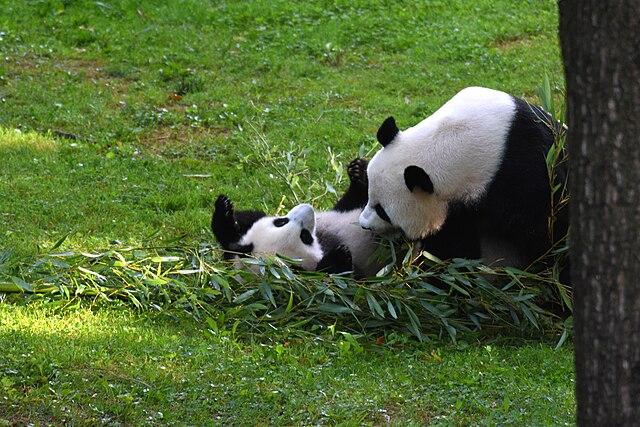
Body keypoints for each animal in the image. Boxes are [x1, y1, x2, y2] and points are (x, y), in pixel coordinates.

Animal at [211, 158, 386, 277]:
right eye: (305, 236)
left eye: (280, 222)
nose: (308, 208)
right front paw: (339, 257)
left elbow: (232, 235)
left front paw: (224, 209)